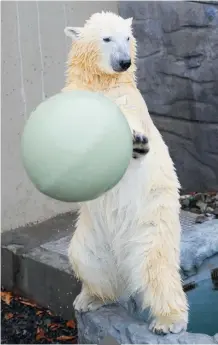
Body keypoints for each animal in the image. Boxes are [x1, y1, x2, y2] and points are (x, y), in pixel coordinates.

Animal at [62, 11, 187, 334]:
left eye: (127, 37)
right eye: (106, 38)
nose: (124, 62)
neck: (101, 82)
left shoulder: (126, 99)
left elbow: (129, 121)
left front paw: (137, 142)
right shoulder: (77, 94)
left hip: (151, 221)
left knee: (156, 267)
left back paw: (169, 320)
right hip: (88, 237)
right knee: (89, 263)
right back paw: (90, 298)